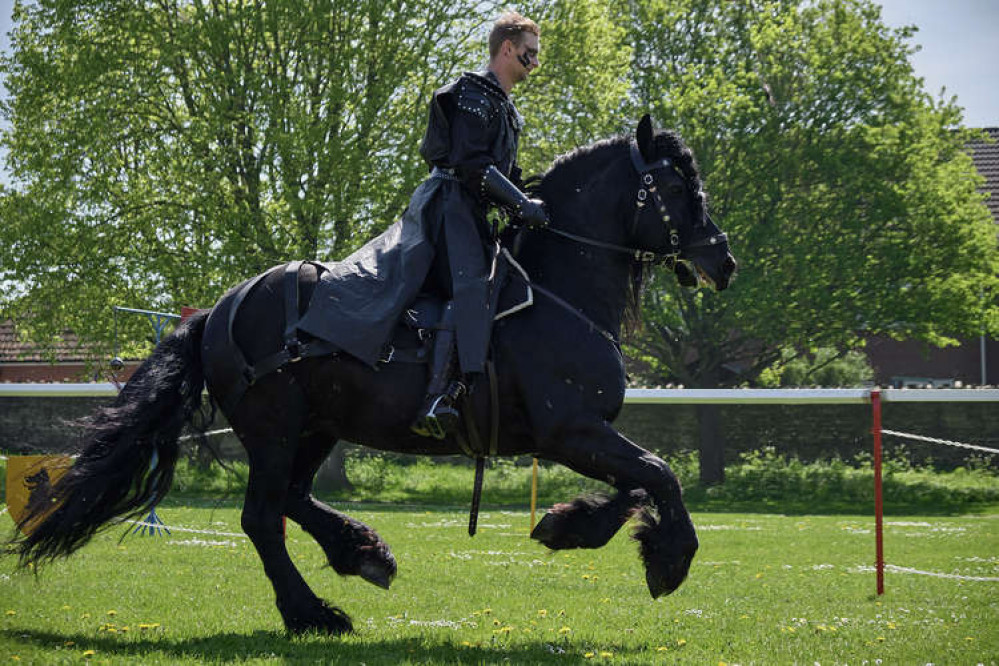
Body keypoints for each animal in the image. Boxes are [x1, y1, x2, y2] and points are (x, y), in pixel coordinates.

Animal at [9, 114, 736, 632]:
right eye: (677, 187)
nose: (722, 260)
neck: (558, 293)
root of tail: (221, 308)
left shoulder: (581, 437)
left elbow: (640, 482)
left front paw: (568, 525)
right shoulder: (572, 432)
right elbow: (659, 475)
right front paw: (669, 559)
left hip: (317, 428)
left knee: (293, 501)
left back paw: (361, 552)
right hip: (276, 430)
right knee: (262, 517)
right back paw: (313, 614)